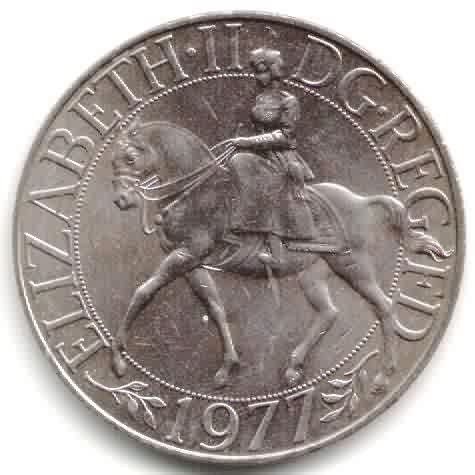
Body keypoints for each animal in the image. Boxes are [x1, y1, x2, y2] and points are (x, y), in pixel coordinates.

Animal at [109, 119, 452, 388]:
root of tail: (361, 201)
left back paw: (383, 374)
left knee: (383, 307)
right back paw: (293, 366)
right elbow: (215, 307)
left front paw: (118, 357)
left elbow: (143, 292)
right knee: (328, 312)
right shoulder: (192, 262)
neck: (198, 190)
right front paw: (228, 366)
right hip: (313, 273)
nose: (121, 200)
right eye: (114, 159)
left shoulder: (188, 254)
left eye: (130, 157)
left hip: (352, 264)